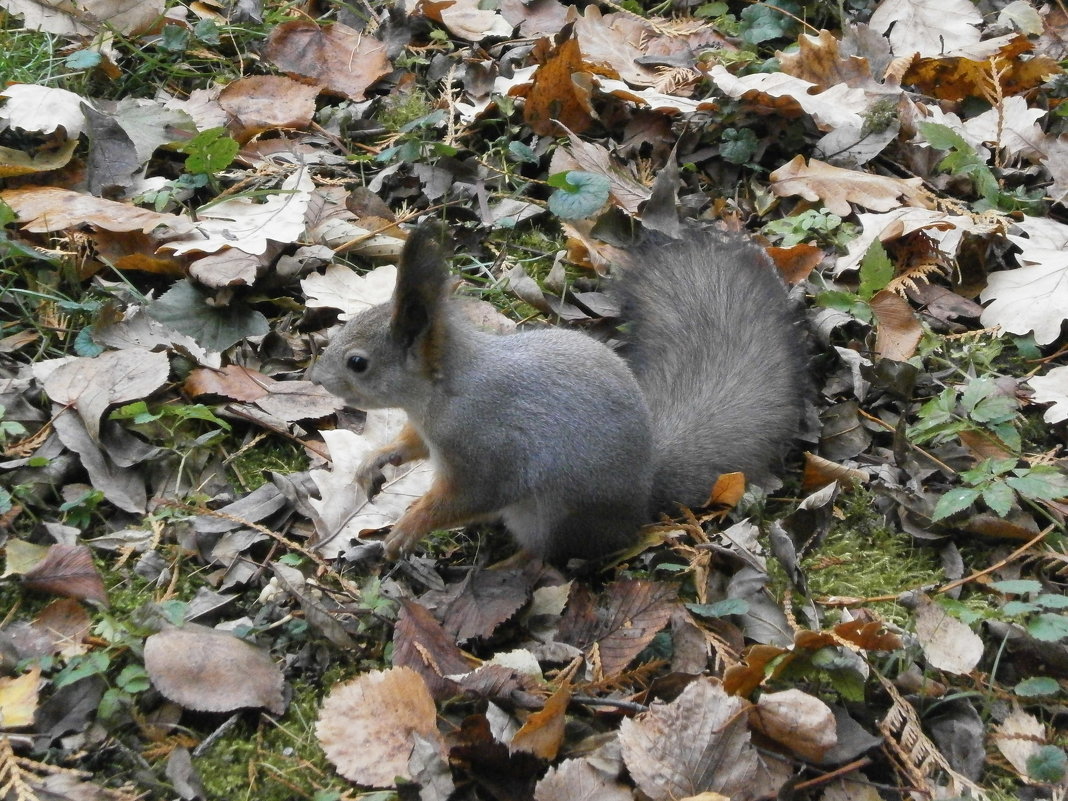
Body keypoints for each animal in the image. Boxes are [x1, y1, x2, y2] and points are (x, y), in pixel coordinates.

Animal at [305, 224, 803, 563]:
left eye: (357, 363)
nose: (316, 378)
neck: (444, 393)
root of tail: (642, 496)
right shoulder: (428, 433)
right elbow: (411, 445)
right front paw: (377, 458)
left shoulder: (487, 449)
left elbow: (469, 496)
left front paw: (411, 525)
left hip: (554, 518)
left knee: (548, 556)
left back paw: (509, 566)